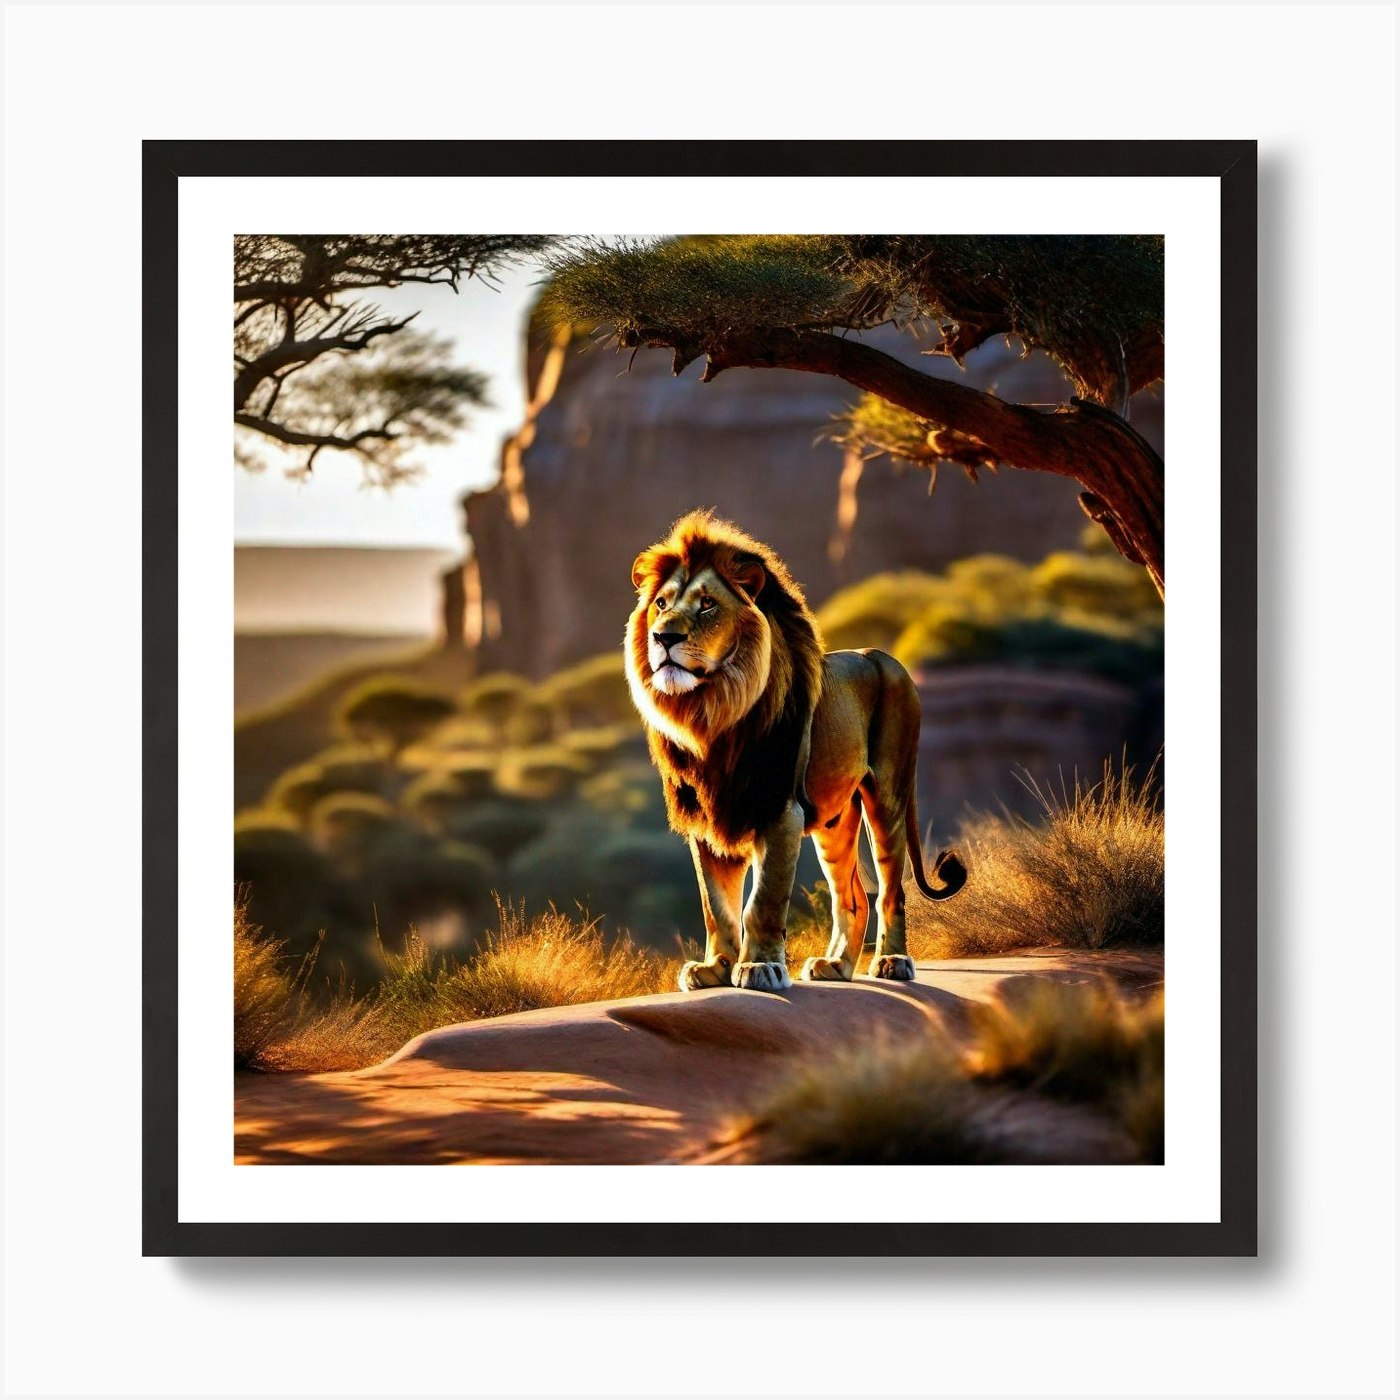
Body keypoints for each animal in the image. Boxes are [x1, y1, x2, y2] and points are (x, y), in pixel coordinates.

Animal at [626, 511, 966, 994]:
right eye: (660, 604)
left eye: (707, 604)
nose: (663, 636)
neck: (711, 715)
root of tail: (884, 657)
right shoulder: (710, 819)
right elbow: (716, 908)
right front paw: (715, 969)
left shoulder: (779, 809)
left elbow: (763, 901)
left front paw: (759, 968)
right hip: (835, 820)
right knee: (852, 896)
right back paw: (836, 966)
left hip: (888, 796)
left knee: (891, 889)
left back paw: (892, 961)